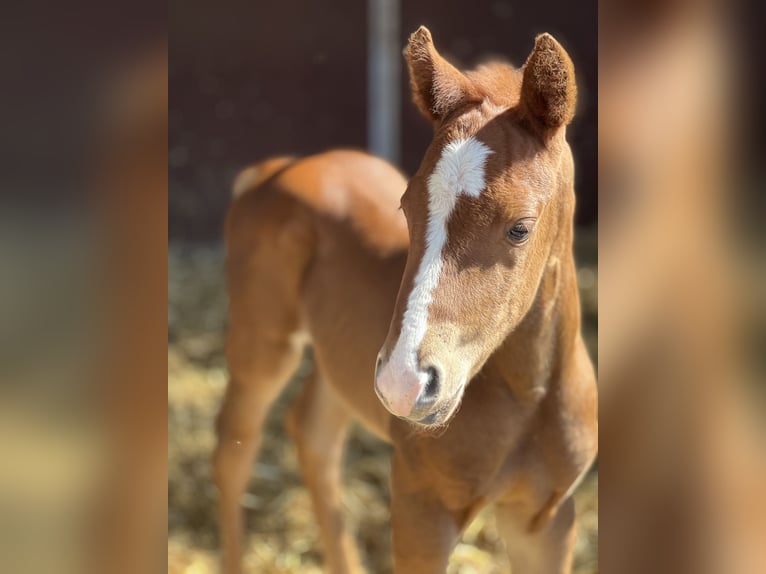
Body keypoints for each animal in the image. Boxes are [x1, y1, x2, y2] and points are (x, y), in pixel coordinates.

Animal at [216, 27, 600, 574]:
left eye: (520, 228)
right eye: (406, 207)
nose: (404, 382)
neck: (530, 396)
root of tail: (278, 168)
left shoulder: (546, 519)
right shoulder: (422, 508)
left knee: (313, 437)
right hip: (264, 344)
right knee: (233, 451)